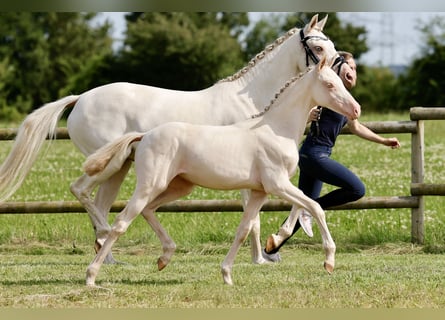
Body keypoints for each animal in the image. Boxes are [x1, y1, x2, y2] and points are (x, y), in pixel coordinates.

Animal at [0, 13, 334, 264]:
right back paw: (107, 240)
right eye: (318, 50)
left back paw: (108, 256)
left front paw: (266, 253)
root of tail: (80, 98)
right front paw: (262, 256)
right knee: (81, 191)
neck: (255, 105)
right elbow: (253, 218)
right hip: (109, 165)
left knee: (100, 203)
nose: (338, 76)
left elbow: (263, 214)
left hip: (119, 168)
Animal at [82, 58, 360, 288]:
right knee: (120, 222)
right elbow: (315, 207)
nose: (356, 110)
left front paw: (226, 274)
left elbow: (244, 229)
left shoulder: (259, 192)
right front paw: (329, 261)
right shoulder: (278, 184)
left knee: (148, 210)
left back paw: (164, 257)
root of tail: (145, 135)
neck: (276, 129)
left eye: (340, 82)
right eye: (329, 84)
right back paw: (91, 276)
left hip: (180, 186)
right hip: (149, 185)